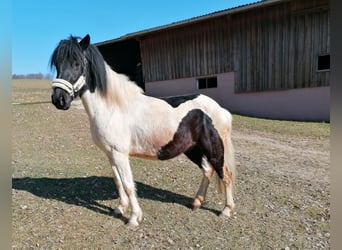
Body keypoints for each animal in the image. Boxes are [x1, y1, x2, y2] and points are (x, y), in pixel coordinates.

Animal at [50, 34, 236, 229]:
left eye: (77, 63)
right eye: (57, 64)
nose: (59, 100)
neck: (112, 107)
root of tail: (220, 109)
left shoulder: (120, 154)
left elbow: (128, 184)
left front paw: (133, 219)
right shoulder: (110, 154)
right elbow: (118, 182)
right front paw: (120, 209)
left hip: (213, 148)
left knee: (225, 174)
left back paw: (226, 210)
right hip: (192, 149)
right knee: (207, 170)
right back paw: (196, 202)